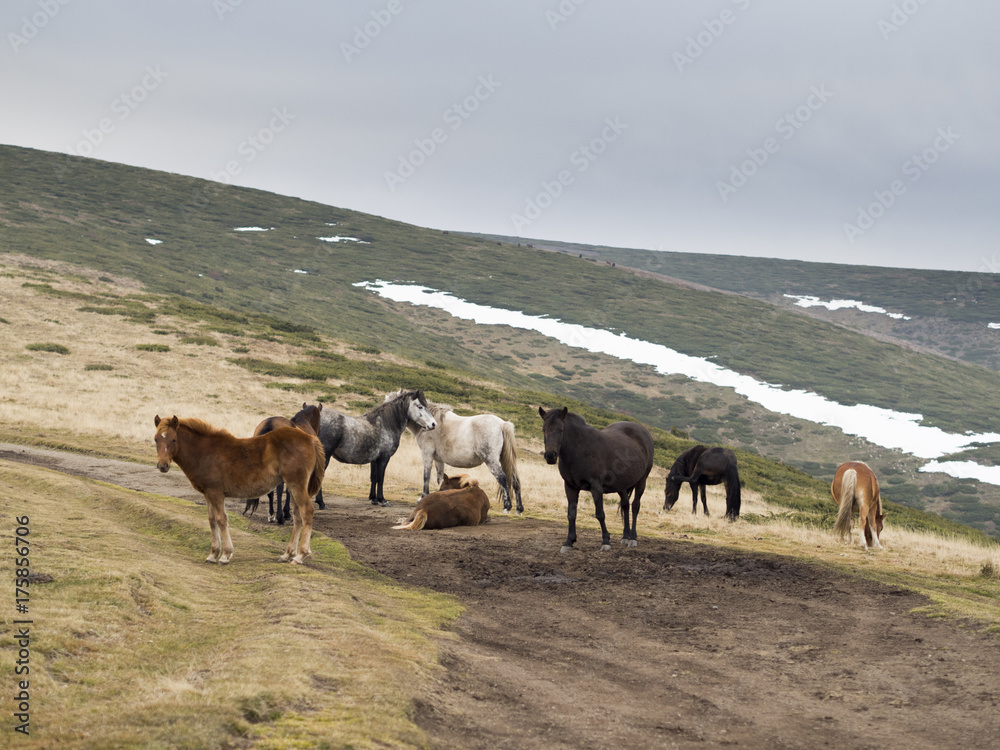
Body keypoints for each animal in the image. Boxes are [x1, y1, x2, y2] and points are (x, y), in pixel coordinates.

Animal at [154, 415, 325, 564]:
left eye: (173, 440)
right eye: (156, 439)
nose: (163, 466)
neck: (205, 452)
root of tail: (310, 439)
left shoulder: (216, 492)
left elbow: (221, 519)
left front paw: (225, 555)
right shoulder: (208, 494)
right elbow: (212, 520)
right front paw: (213, 554)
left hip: (297, 484)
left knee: (306, 511)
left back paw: (300, 555)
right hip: (293, 486)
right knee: (297, 516)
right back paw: (287, 554)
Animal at [395, 394, 523, 514]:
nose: (432, 425)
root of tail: (502, 424)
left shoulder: (427, 454)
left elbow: (426, 475)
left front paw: (422, 497)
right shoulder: (438, 459)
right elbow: (439, 477)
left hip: (491, 461)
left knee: (502, 478)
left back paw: (507, 507)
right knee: (515, 479)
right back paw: (519, 509)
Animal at [538, 406, 654, 552]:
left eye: (561, 430)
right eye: (544, 429)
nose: (550, 456)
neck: (580, 450)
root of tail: (643, 431)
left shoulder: (596, 488)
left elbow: (600, 514)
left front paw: (605, 541)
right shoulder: (570, 487)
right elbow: (571, 514)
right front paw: (569, 542)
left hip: (642, 481)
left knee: (635, 506)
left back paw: (633, 538)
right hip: (622, 486)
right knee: (625, 505)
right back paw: (625, 536)